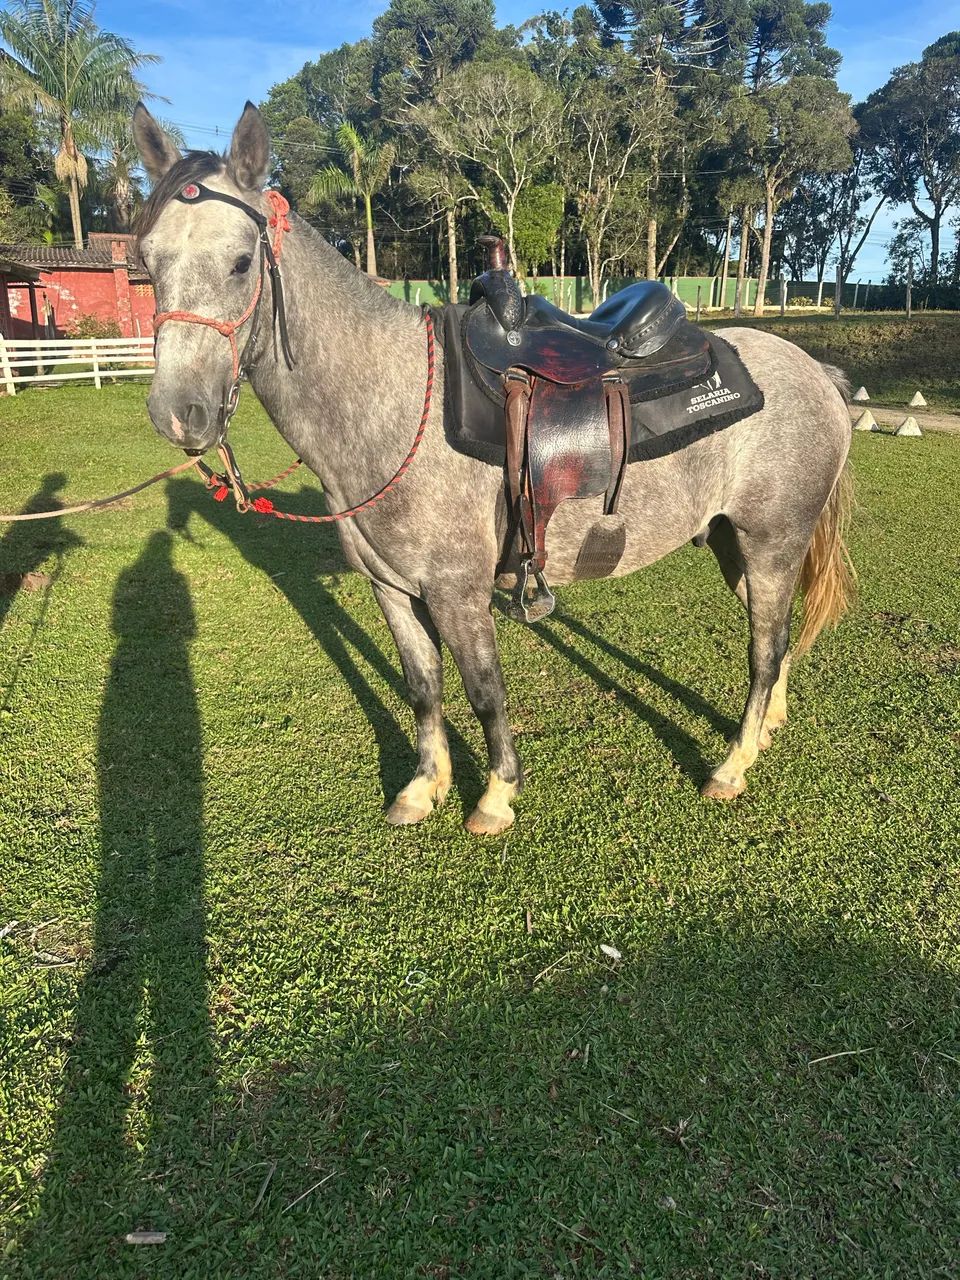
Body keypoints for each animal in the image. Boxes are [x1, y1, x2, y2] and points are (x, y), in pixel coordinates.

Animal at [132, 102, 854, 837]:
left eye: (241, 263)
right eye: (146, 263)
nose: (179, 413)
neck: (395, 399)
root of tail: (816, 374)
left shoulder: (456, 592)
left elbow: (483, 691)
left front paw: (496, 794)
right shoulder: (391, 589)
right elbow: (424, 688)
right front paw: (424, 787)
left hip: (772, 543)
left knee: (764, 647)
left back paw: (732, 766)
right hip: (737, 546)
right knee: (776, 638)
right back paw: (765, 730)